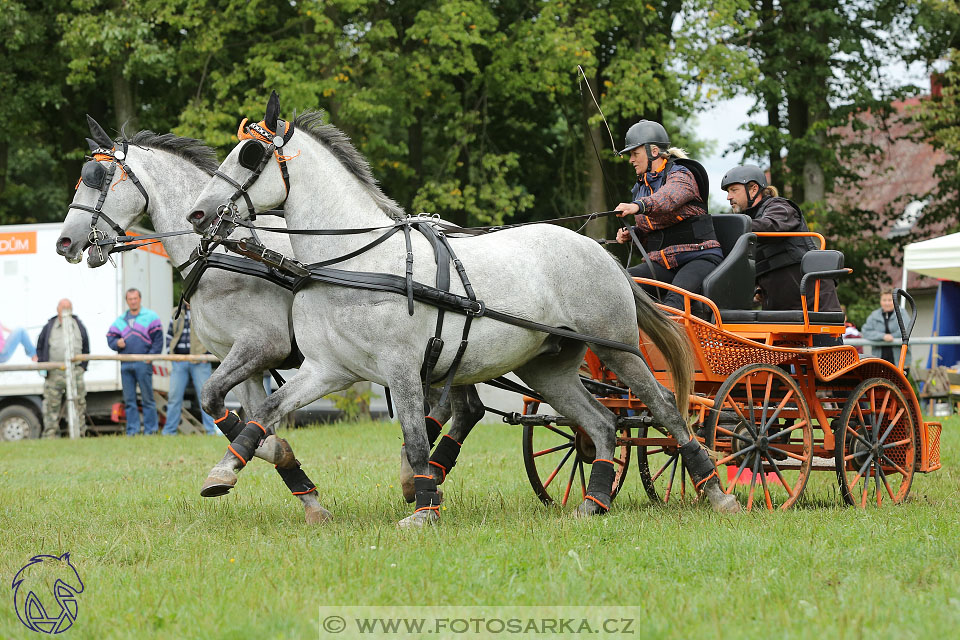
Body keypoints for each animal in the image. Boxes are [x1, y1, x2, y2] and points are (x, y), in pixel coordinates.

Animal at [56, 117, 334, 524]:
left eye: (99, 176)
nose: (64, 242)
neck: (221, 254)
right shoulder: (247, 366)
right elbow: (256, 425)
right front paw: (304, 490)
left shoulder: (262, 346)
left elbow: (218, 405)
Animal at [189, 95, 744, 524]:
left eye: (250, 155)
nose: (198, 214)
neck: (355, 261)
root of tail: (600, 251)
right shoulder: (328, 369)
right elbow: (265, 413)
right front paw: (225, 471)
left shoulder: (402, 370)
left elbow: (415, 440)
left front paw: (423, 509)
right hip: (548, 367)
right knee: (604, 424)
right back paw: (594, 502)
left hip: (619, 350)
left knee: (667, 409)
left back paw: (718, 492)